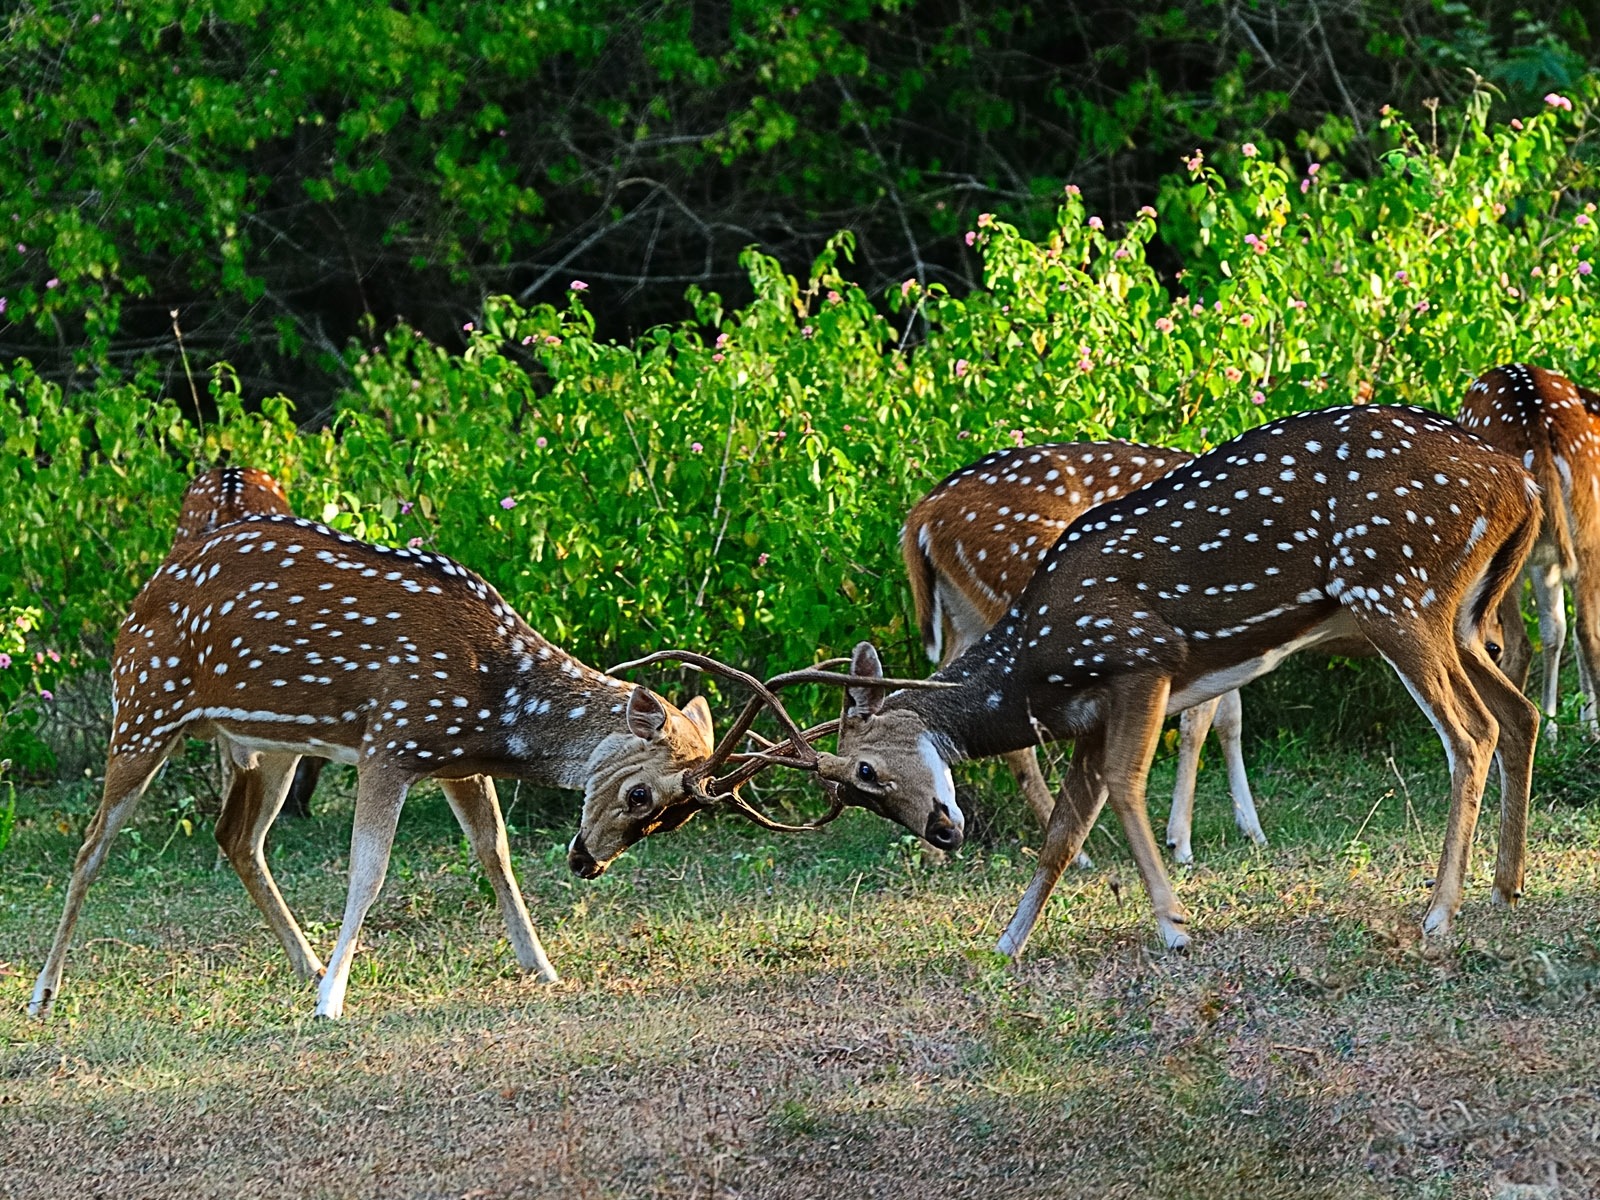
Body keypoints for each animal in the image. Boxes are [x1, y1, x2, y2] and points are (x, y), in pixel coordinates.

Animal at [31, 512, 723, 1017]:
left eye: (677, 819)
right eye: (641, 795)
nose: (587, 863)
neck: (496, 702)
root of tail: (142, 593)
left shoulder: (453, 760)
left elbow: (494, 851)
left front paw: (542, 966)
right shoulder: (389, 742)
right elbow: (368, 871)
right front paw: (331, 1003)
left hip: (273, 743)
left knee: (237, 836)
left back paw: (305, 962)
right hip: (144, 706)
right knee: (91, 846)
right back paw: (44, 994)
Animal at [806, 406, 1542, 960]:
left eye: (865, 770)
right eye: (855, 791)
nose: (940, 832)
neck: (1034, 667)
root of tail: (1522, 487)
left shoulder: (1141, 659)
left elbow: (1130, 782)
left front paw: (1174, 922)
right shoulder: (1089, 717)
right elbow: (1064, 833)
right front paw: (1008, 943)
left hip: (1394, 590)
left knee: (1472, 732)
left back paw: (1439, 912)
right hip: (1454, 616)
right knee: (1520, 713)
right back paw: (1505, 889)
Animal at [1465, 364, 1600, 742]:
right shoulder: (1553, 560)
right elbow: (1557, 631)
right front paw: (1566, 730)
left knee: (1520, 646)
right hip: (1584, 534)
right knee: (1588, 632)